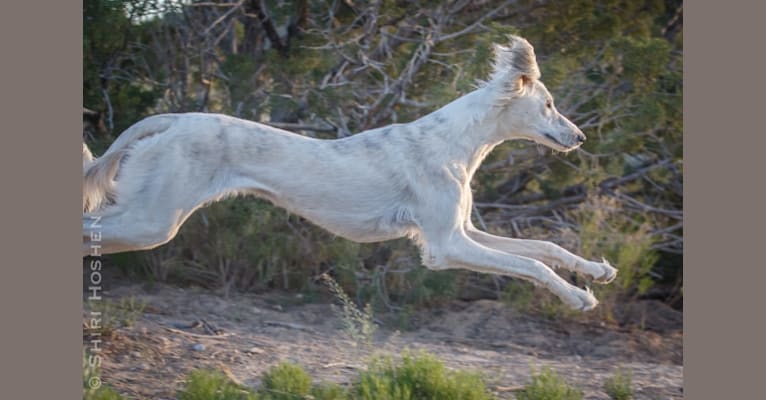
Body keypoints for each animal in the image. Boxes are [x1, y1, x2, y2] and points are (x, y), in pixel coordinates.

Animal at [82, 36, 616, 310]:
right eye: (548, 104)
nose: (580, 138)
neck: (456, 142)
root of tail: (170, 118)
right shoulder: (446, 247)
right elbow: (533, 265)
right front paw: (577, 297)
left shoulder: (462, 231)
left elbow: (544, 248)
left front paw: (596, 271)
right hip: (152, 221)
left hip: (146, 218)